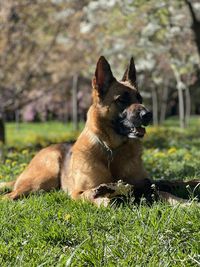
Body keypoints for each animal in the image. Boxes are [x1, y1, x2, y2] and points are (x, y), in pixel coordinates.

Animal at [0, 57, 200, 207]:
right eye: (121, 100)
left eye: (140, 98)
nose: (149, 115)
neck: (113, 150)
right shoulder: (78, 193)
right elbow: (101, 198)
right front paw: (109, 197)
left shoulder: (146, 186)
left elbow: (164, 191)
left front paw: (183, 202)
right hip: (41, 180)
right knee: (9, 196)